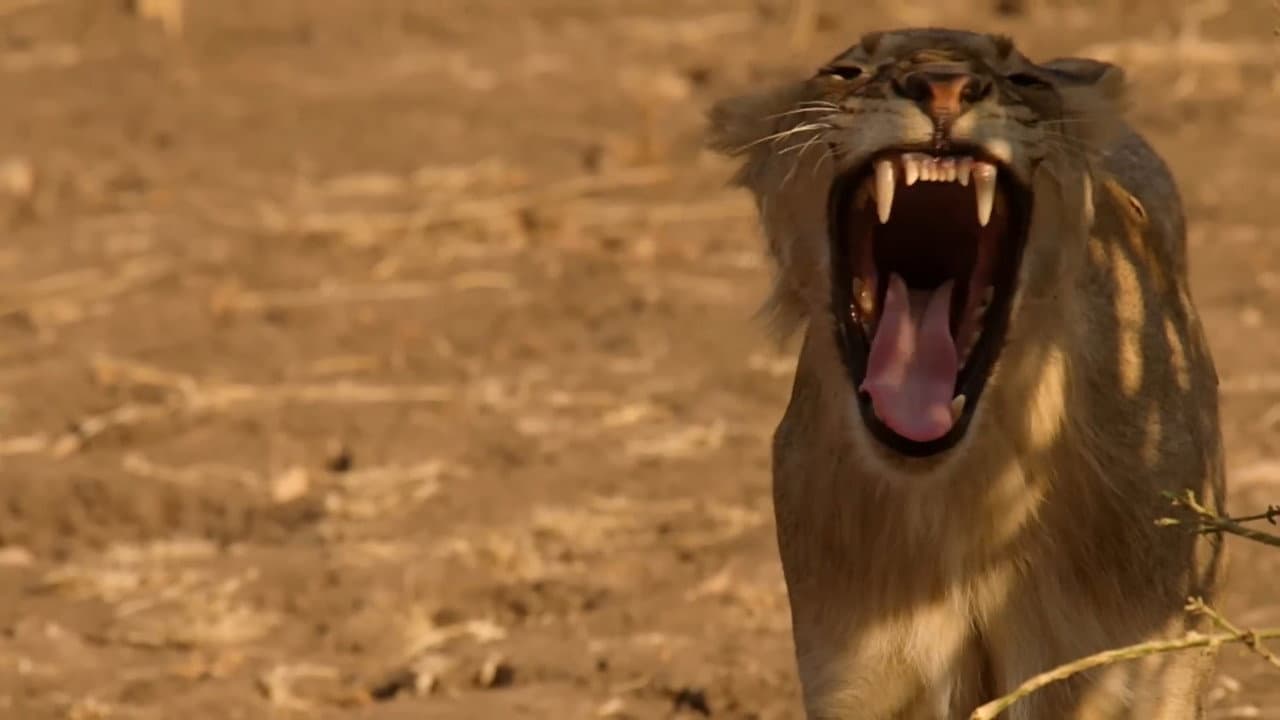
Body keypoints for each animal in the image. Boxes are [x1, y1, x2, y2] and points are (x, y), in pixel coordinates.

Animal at [707, 28, 1226, 719]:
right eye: (846, 71)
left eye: (1025, 80)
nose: (943, 87)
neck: (973, 496)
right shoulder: (858, 680)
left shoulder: (1134, 672)